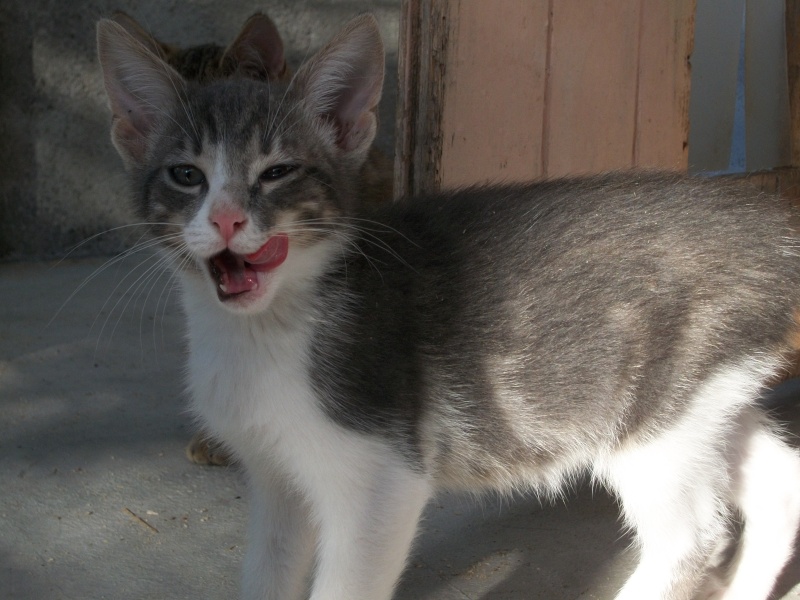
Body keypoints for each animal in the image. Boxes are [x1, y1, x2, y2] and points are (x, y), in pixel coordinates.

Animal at [98, 11, 800, 596]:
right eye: (185, 175)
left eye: (277, 172)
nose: (225, 219)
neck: (264, 329)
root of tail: (768, 222)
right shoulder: (275, 480)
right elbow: (265, 576)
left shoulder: (382, 477)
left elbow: (347, 583)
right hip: (703, 395)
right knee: (782, 486)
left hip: (646, 414)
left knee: (693, 534)